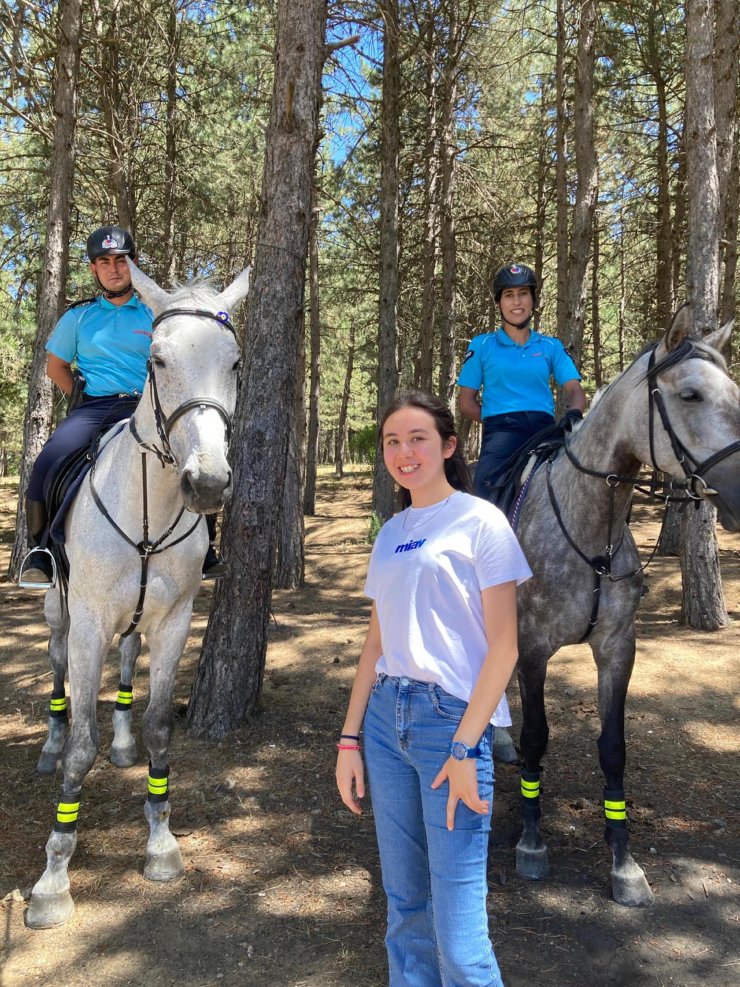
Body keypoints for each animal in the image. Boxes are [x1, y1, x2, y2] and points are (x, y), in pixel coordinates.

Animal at [26, 260, 251, 928]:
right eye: (156, 359)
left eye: (235, 362)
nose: (208, 482)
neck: (149, 505)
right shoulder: (89, 621)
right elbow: (81, 746)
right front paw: (54, 877)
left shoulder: (175, 620)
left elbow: (157, 726)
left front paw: (160, 841)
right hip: (59, 610)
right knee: (57, 667)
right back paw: (48, 744)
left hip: (138, 616)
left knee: (127, 659)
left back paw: (122, 744)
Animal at [512, 310, 736, 912]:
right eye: (690, 394)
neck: (590, 529)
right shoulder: (532, 645)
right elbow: (537, 734)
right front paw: (532, 841)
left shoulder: (617, 647)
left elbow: (613, 748)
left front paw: (624, 863)